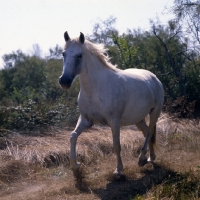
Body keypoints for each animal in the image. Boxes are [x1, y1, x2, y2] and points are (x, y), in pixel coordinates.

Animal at [59, 31, 164, 175]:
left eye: (79, 55)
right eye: (63, 54)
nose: (64, 81)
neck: (96, 89)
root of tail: (154, 78)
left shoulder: (114, 121)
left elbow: (116, 145)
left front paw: (118, 170)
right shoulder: (86, 120)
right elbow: (73, 136)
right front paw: (75, 165)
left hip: (155, 113)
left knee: (149, 133)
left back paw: (142, 159)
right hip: (138, 119)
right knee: (147, 131)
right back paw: (150, 158)